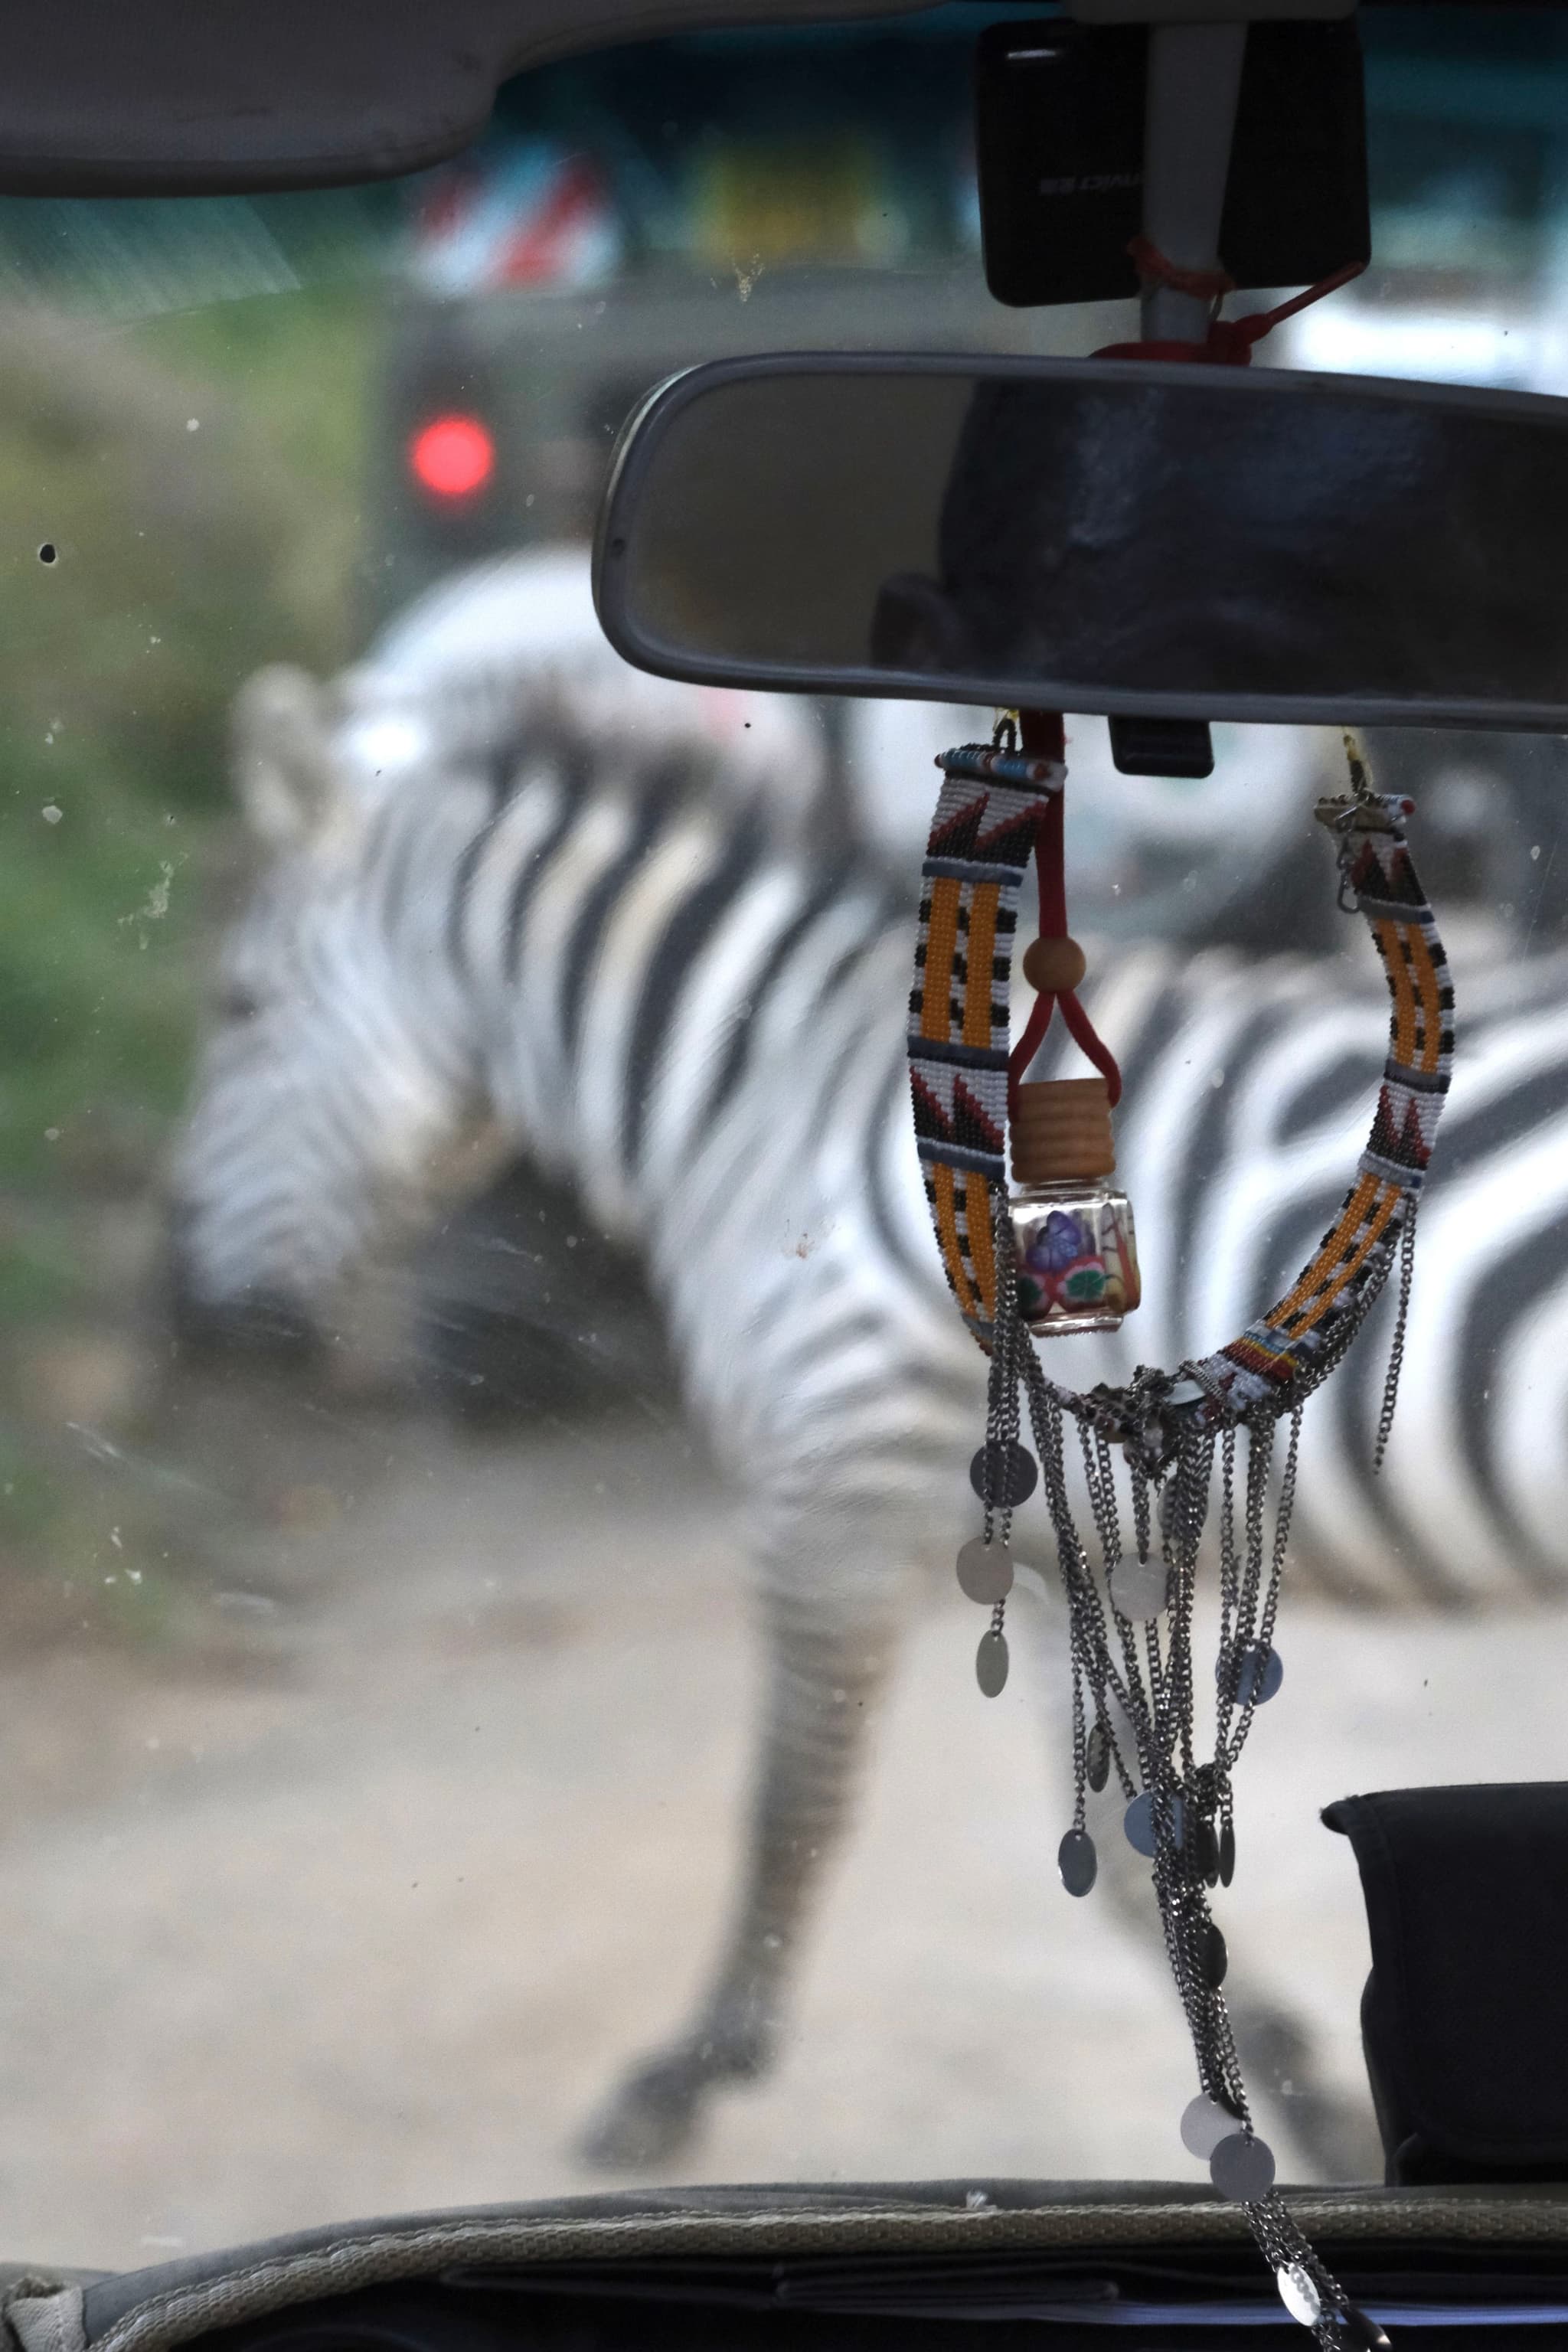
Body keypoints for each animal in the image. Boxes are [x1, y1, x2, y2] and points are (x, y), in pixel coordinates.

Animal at [167, 564, 1568, 2173]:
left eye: (240, 1009)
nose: (191, 1318)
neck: (760, 1090)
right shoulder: (1039, 1526)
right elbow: (1127, 1838)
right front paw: (1294, 2091)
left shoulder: (825, 1467)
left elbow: (792, 1794)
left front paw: (685, 2076)